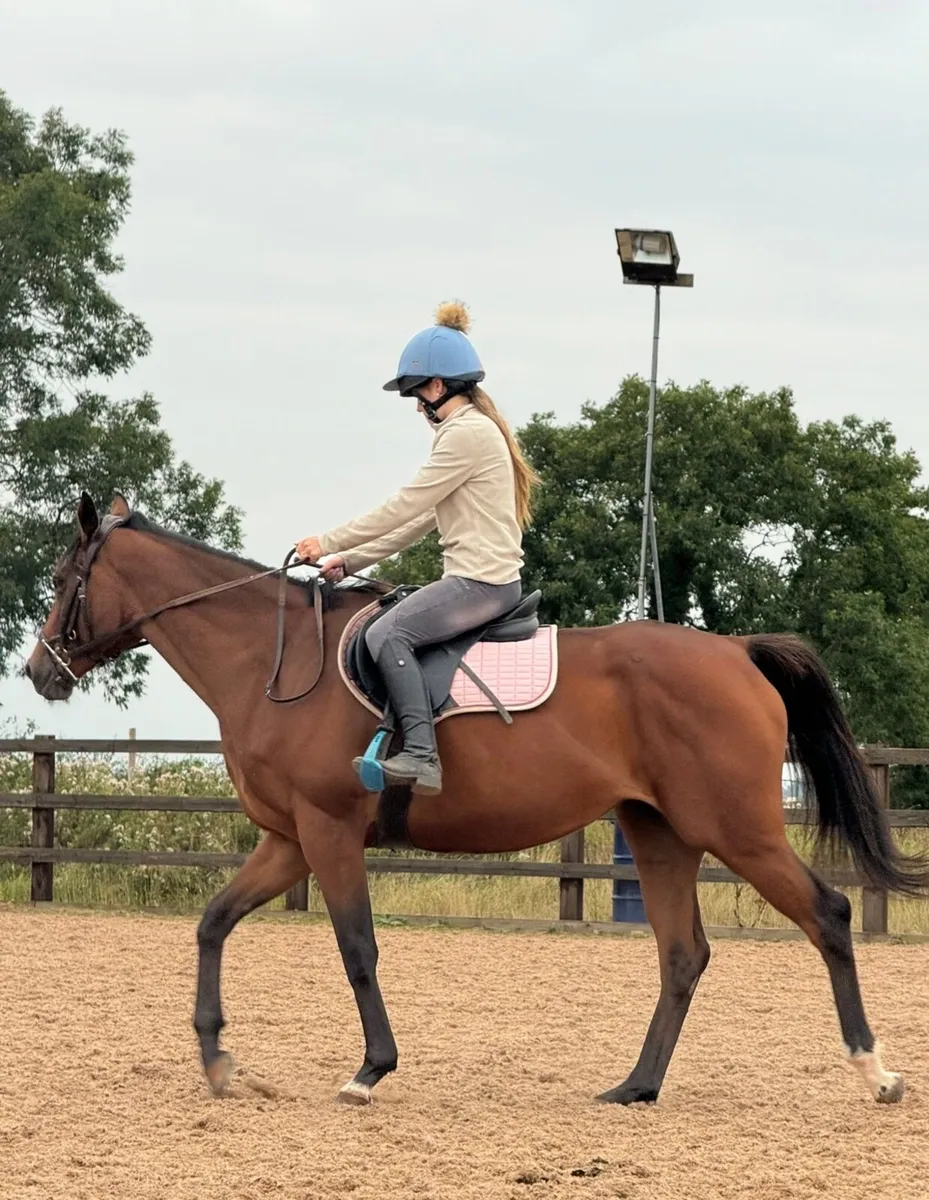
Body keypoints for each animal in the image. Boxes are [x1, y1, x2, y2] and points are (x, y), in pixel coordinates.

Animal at [23, 492, 929, 1109]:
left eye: (65, 577)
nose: (37, 671)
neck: (271, 662)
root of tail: (736, 654)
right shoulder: (288, 839)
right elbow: (213, 922)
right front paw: (216, 1059)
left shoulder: (327, 831)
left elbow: (357, 948)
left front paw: (370, 1069)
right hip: (659, 833)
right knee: (681, 955)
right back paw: (634, 1085)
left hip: (735, 829)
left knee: (826, 915)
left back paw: (873, 1069)